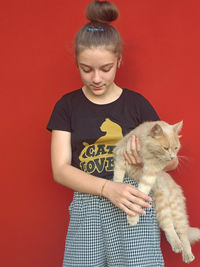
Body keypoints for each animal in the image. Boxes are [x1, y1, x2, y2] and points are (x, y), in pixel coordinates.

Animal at [113, 121, 200, 264]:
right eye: (165, 148)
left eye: (176, 148)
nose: (172, 157)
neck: (146, 152)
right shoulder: (121, 155)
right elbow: (118, 176)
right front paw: (117, 188)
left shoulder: (150, 174)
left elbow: (141, 192)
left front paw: (132, 218)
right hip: (161, 205)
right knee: (167, 225)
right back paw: (176, 245)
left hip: (175, 210)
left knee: (181, 232)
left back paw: (186, 253)